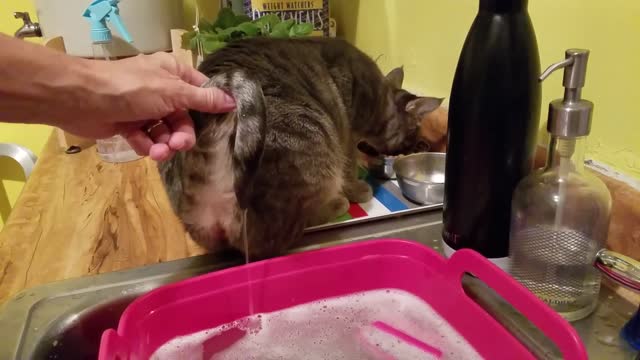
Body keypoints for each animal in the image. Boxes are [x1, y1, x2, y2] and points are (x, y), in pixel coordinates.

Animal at [158, 36, 442, 258]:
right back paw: (336, 204)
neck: (380, 97)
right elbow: (350, 166)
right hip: (316, 145)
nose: (412, 146)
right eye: (414, 135)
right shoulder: (348, 132)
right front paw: (359, 188)